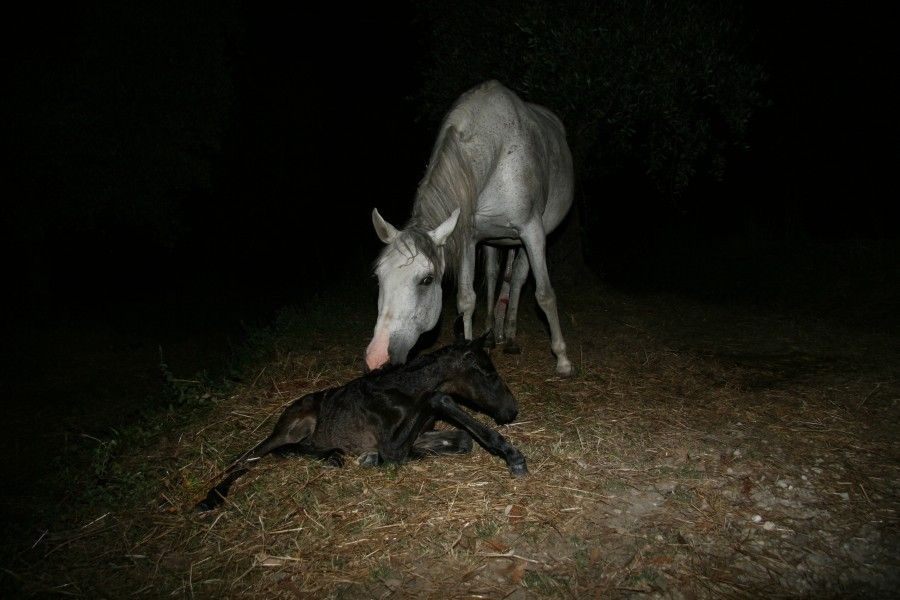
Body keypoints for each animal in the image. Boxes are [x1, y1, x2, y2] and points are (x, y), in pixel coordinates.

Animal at [193, 332, 524, 510]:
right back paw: (212, 497)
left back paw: (332, 455)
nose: (512, 410)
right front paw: (513, 456)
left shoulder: (417, 435)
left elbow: (462, 440)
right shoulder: (392, 444)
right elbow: (440, 402)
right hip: (295, 425)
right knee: (250, 456)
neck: (405, 391)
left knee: (285, 451)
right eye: (489, 373)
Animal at [364, 81, 568, 376]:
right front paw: (470, 351)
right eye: (378, 278)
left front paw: (563, 359)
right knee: (495, 277)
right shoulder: (468, 237)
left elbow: (545, 294)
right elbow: (466, 299)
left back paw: (511, 337)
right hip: (495, 241)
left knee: (518, 279)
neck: (498, 155)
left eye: (426, 280)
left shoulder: (533, 232)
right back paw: (493, 334)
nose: (376, 358)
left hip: (526, 239)